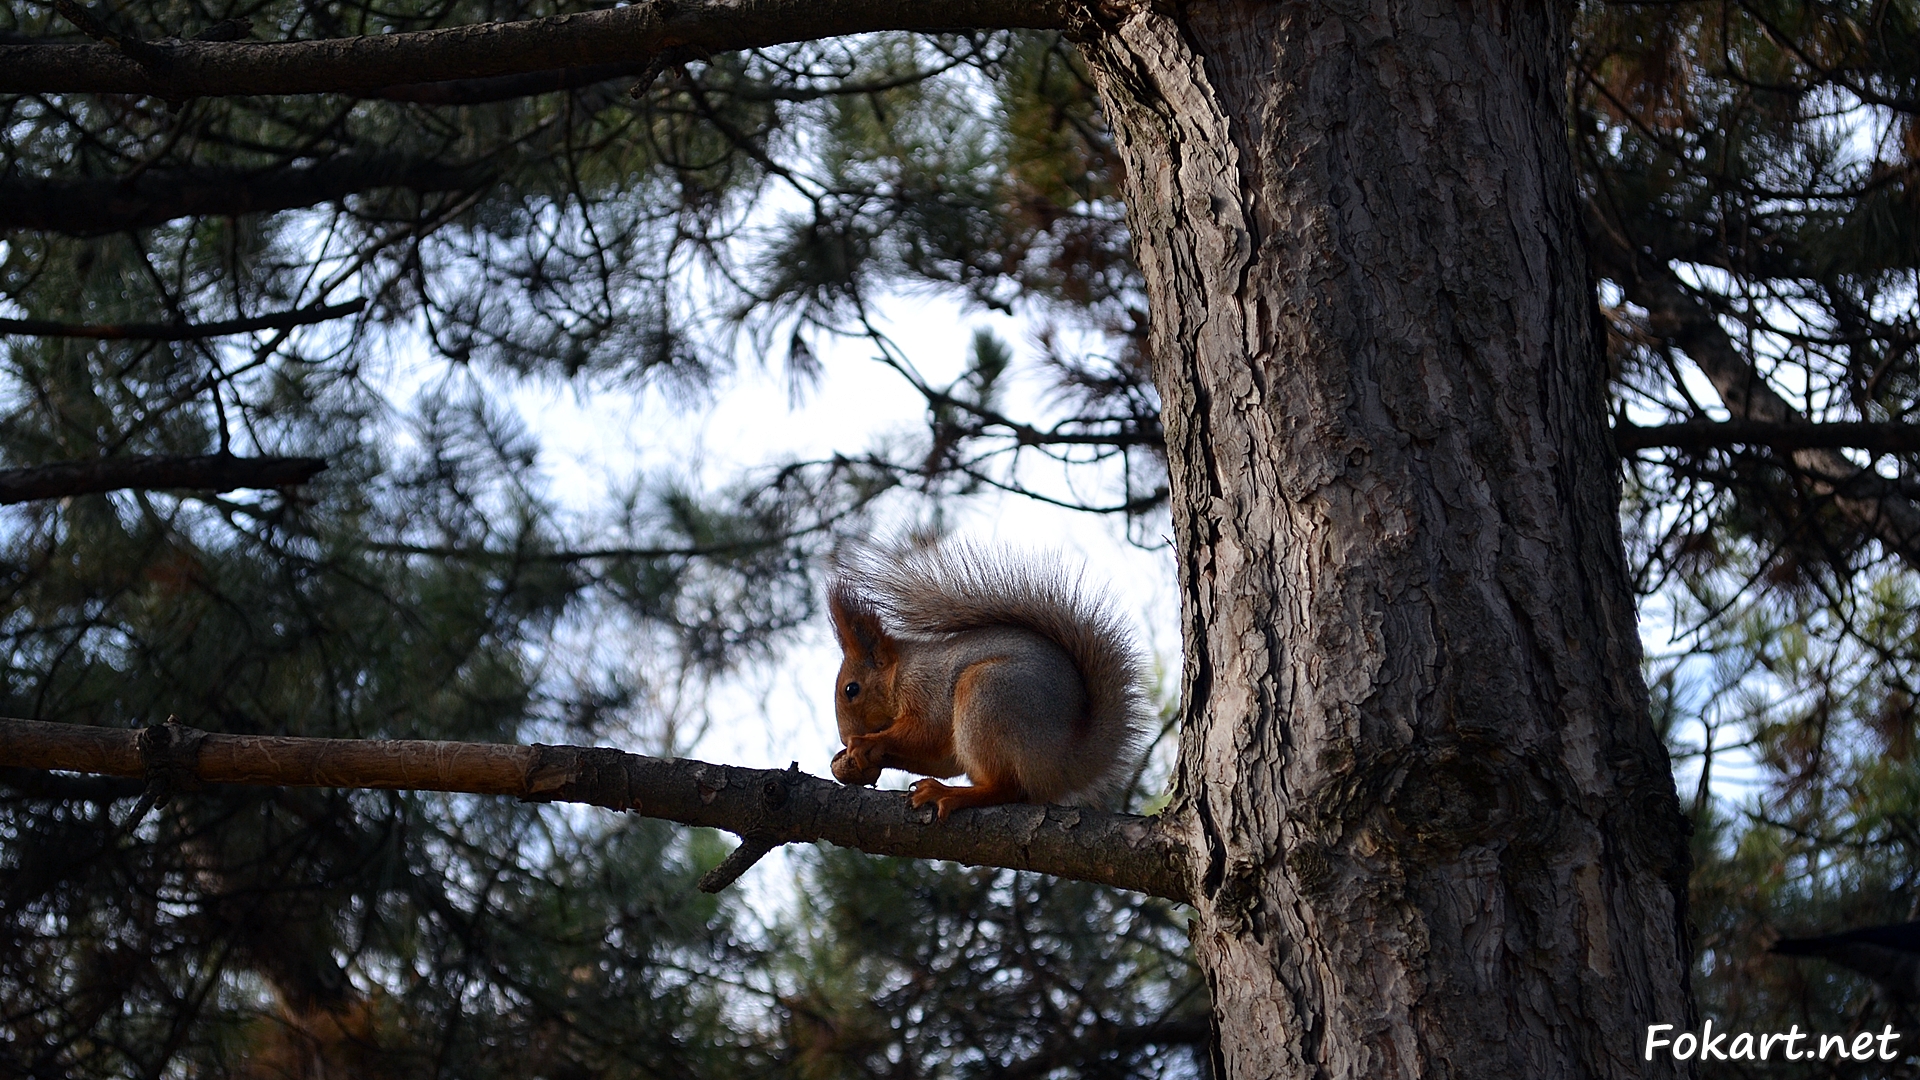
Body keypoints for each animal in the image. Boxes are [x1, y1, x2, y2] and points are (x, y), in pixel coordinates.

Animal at [825, 543, 1149, 819]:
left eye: (851, 689)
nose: (844, 736)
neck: (899, 673)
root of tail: (1067, 760)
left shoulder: (927, 688)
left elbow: (925, 732)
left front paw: (867, 742)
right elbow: (939, 758)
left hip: (986, 695)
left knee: (1007, 788)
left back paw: (950, 794)